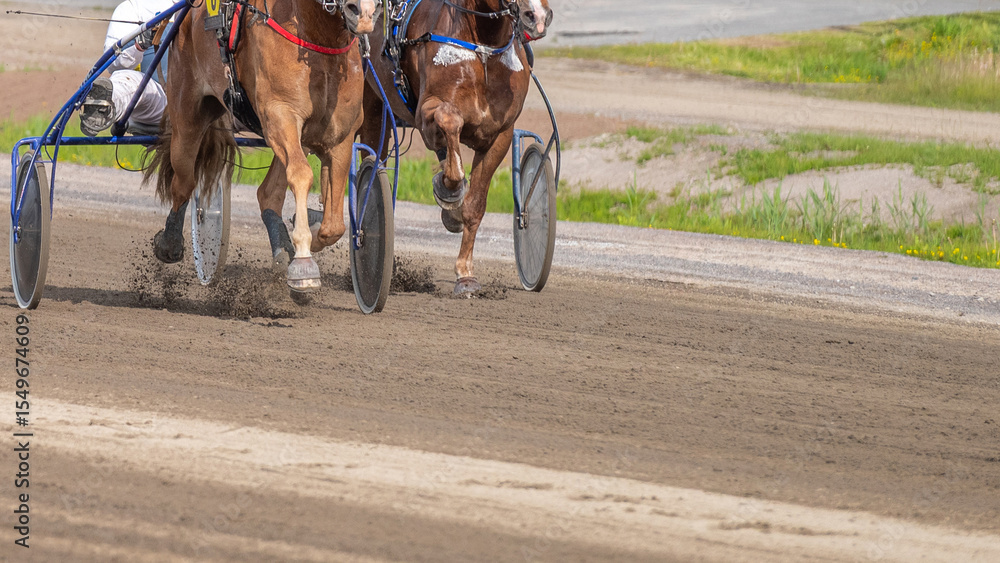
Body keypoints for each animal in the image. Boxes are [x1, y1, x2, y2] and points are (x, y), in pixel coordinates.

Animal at [144, 0, 380, 293]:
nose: (363, 13)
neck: (318, 36)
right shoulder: (279, 114)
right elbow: (301, 176)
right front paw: (303, 261)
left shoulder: (340, 136)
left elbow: (333, 226)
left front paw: (306, 240)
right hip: (187, 117)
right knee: (184, 182)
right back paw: (169, 242)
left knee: (268, 193)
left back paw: (282, 247)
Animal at [359, 0, 553, 295]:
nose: (538, 16)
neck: (483, 48)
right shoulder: (425, 111)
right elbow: (449, 120)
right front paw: (448, 191)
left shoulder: (501, 134)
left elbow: (474, 204)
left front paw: (465, 273)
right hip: (369, 106)